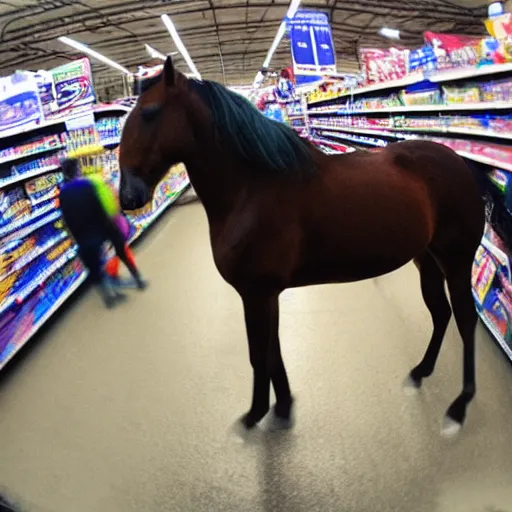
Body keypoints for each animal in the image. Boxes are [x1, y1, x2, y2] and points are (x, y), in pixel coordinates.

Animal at [118, 57, 486, 436]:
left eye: (149, 113)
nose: (126, 195)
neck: (252, 188)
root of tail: (462, 163)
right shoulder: (267, 295)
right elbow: (272, 352)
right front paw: (282, 406)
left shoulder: (255, 295)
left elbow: (258, 354)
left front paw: (256, 413)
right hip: (427, 261)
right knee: (441, 314)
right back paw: (421, 370)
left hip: (457, 262)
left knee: (465, 320)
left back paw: (459, 406)